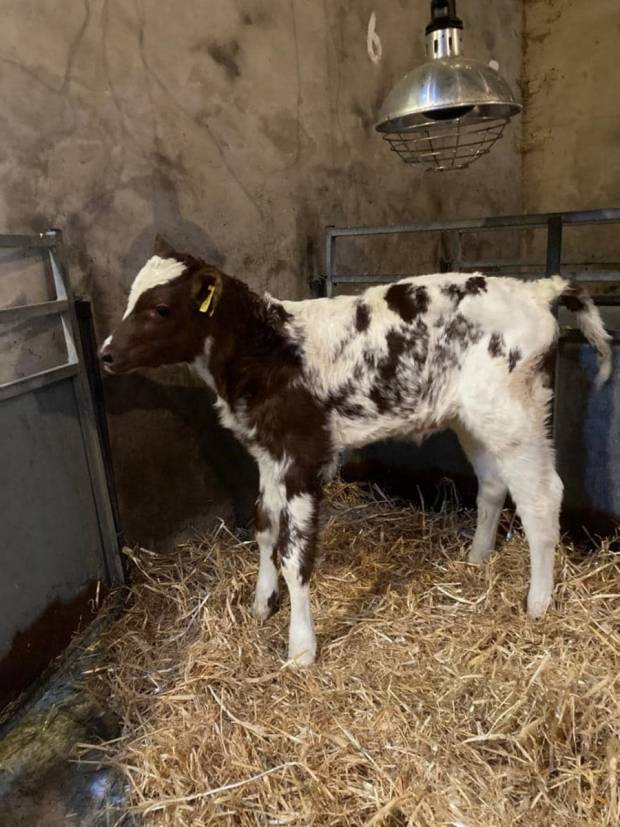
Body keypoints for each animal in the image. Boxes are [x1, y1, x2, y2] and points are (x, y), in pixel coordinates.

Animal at [100, 238, 612, 668]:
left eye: (161, 308)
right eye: (130, 299)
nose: (105, 354)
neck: (269, 350)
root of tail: (535, 289)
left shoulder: (304, 456)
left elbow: (295, 555)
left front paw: (300, 649)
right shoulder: (268, 452)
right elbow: (265, 527)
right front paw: (262, 604)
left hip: (514, 412)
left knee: (542, 497)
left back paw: (538, 603)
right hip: (472, 417)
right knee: (492, 483)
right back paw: (476, 559)